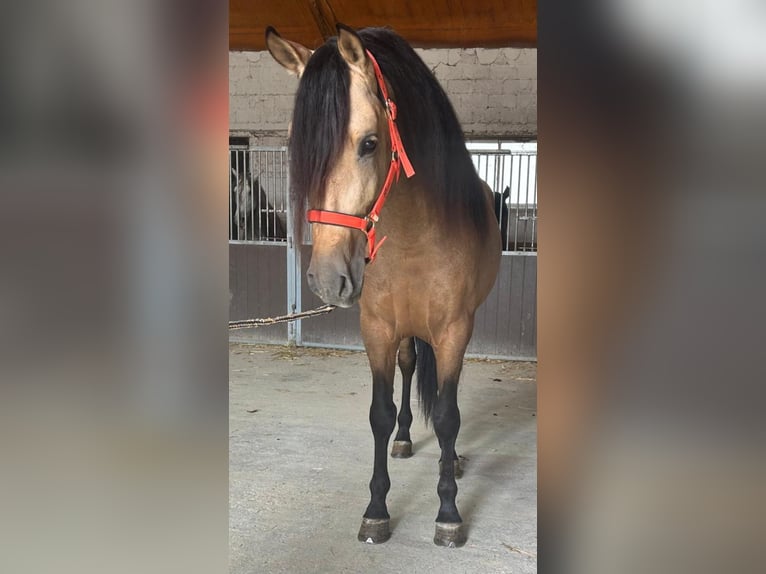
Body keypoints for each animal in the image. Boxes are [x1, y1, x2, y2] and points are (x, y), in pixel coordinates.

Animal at [266, 23, 504, 548]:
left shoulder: (454, 330)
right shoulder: (376, 329)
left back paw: (452, 459)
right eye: (297, 146)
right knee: (411, 366)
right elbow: (380, 411)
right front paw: (376, 510)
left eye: (370, 144)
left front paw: (449, 513)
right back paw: (404, 440)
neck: (415, 239)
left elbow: (449, 415)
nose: (328, 279)